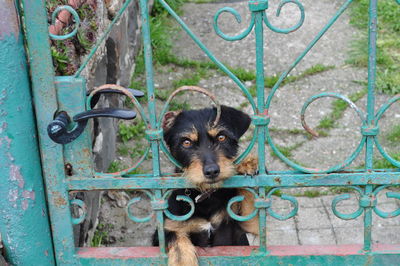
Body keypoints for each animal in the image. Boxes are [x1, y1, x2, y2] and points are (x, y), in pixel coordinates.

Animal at [153, 106, 260, 266]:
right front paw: (183, 260)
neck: (205, 196)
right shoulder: (165, 229)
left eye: (222, 137)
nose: (212, 171)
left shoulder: (246, 224)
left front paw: (246, 164)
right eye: (186, 142)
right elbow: (177, 239)